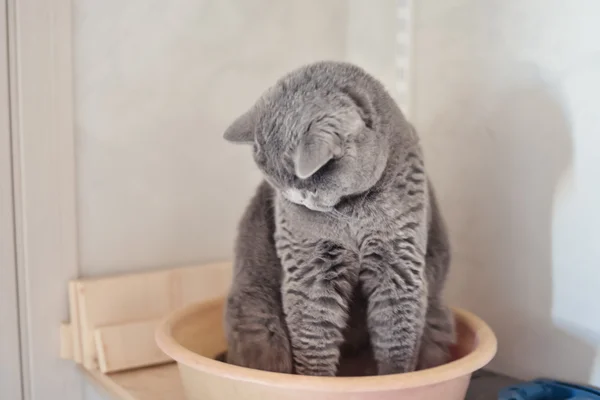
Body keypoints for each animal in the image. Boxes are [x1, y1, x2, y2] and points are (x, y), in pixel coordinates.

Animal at [223, 61, 452, 376]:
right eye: (277, 184)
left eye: (311, 181)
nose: (297, 199)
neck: (352, 213)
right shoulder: (311, 266)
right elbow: (314, 335)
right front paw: (315, 380)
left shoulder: (398, 260)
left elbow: (397, 335)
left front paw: (394, 378)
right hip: (258, 318)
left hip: (437, 321)